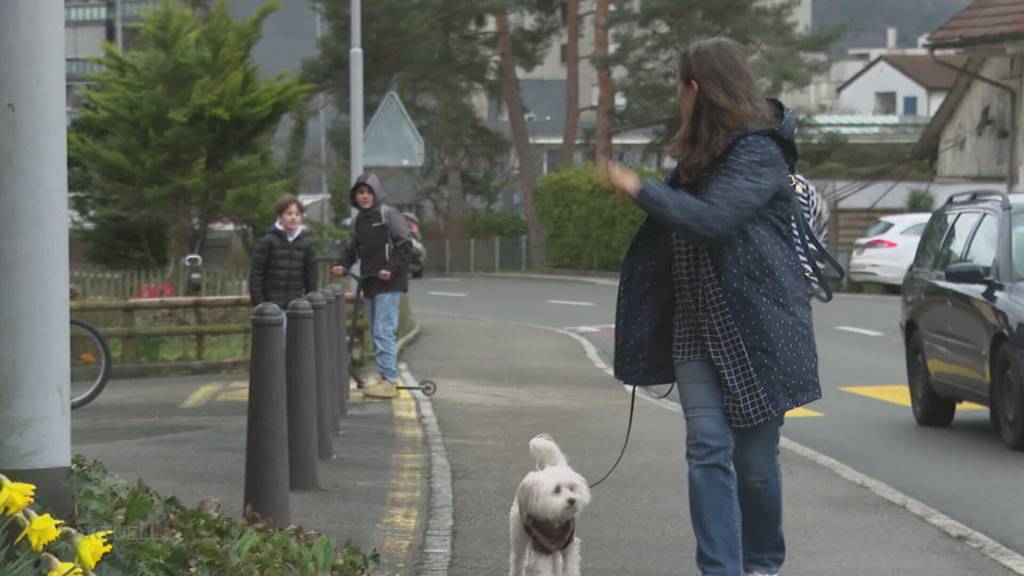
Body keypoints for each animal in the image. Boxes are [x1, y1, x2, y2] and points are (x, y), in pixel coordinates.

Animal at [509, 432, 593, 569]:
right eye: (557, 490)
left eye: (572, 488)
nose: (572, 500)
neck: (556, 522)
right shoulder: (541, 549)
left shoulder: (569, 546)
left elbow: (570, 569)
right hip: (518, 533)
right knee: (518, 559)